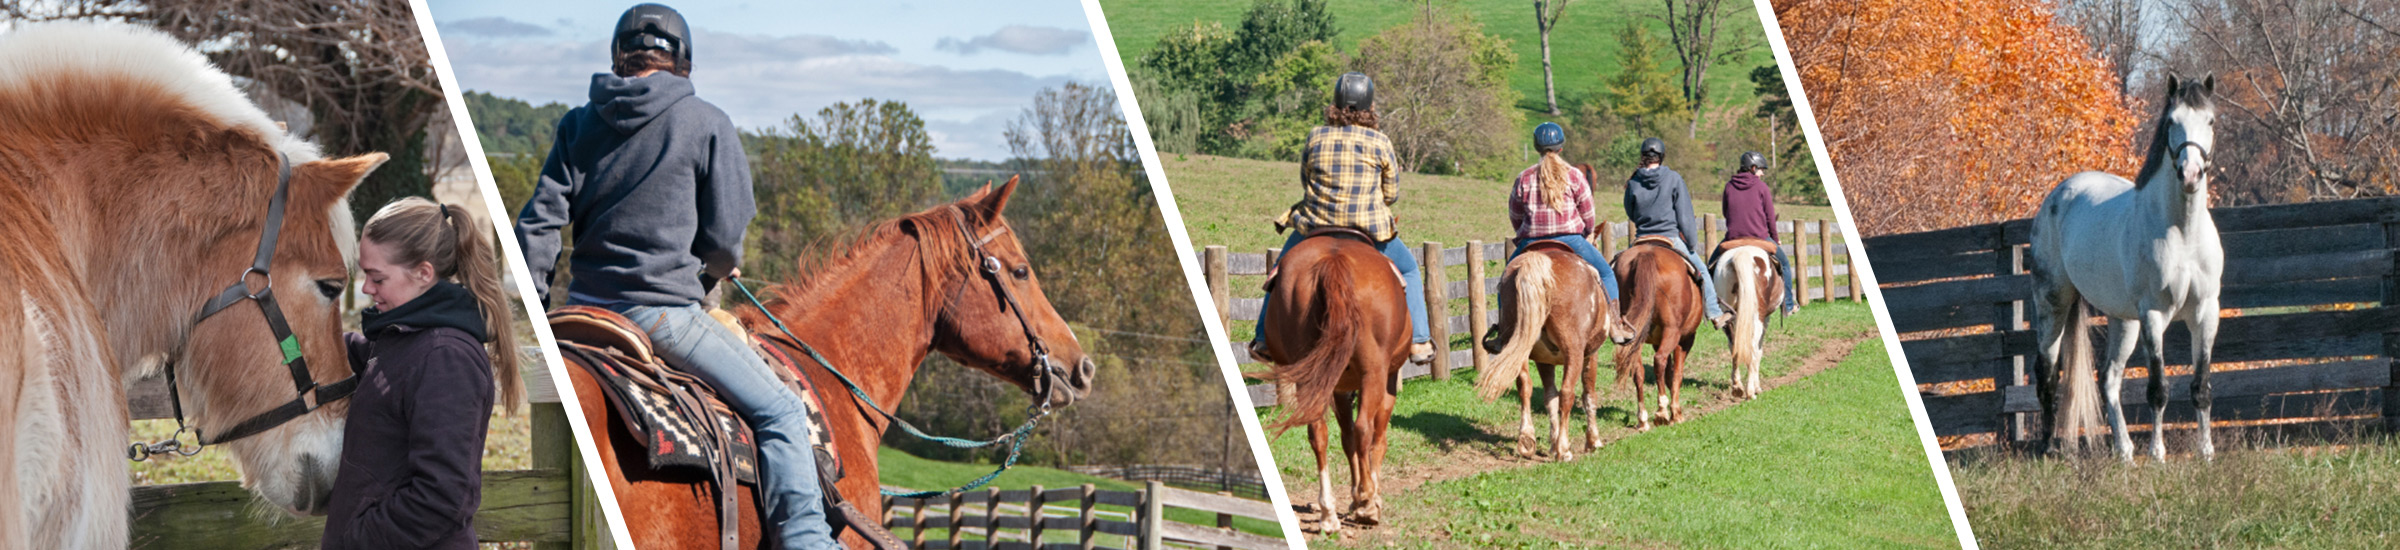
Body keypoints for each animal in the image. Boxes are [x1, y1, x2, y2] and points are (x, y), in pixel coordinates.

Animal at [1249, 230, 1411, 534]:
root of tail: (1333, 261)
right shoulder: (1388, 379)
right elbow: (1377, 438)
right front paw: (1368, 498)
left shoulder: (1338, 388)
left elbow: (1346, 439)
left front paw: (1357, 496)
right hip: (1373, 371)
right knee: (1364, 429)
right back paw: (1365, 505)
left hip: (1313, 375)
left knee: (1319, 433)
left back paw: (1328, 513)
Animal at [1474, 243, 1633, 460]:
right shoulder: (1590, 355)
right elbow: (1588, 395)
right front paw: (1592, 441)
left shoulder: (1543, 361)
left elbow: (1550, 397)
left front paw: (1552, 443)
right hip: (1574, 352)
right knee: (1567, 392)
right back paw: (1564, 449)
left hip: (1519, 349)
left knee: (1525, 386)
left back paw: (1527, 440)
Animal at [1612, 239, 1705, 429]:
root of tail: (1646, 253)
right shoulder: (1685, 340)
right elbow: (1676, 374)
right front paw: (1676, 413)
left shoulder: (1656, 341)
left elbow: (1669, 375)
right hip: (1673, 332)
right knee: (1659, 360)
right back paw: (1662, 411)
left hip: (1635, 338)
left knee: (1638, 370)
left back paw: (1643, 419)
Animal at [1712, 239, 1786, 400]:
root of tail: (1741, 253)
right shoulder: (1765, 319)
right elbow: (1759, 351)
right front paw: (1757, 387)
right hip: (1757, 318)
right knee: (1752, 347)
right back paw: (1751, 391)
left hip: (1728, 315)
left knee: (1734, 345)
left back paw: (1737, 387)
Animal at [2029, 75, 2221, 462]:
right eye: (2172, 122)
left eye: (2209, 121)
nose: (2190, 174)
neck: (2182, 233)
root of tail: (2058, 196)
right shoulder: (2154, 314)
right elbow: (2158, 388)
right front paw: (2158, 453)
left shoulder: (2207, 313)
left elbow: (2200, 386)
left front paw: (2206, 453)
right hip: (2052, 304)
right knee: (2047, 371)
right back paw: (2048, 448)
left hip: (2123, 320)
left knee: (2109, 378)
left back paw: (2124, 450)